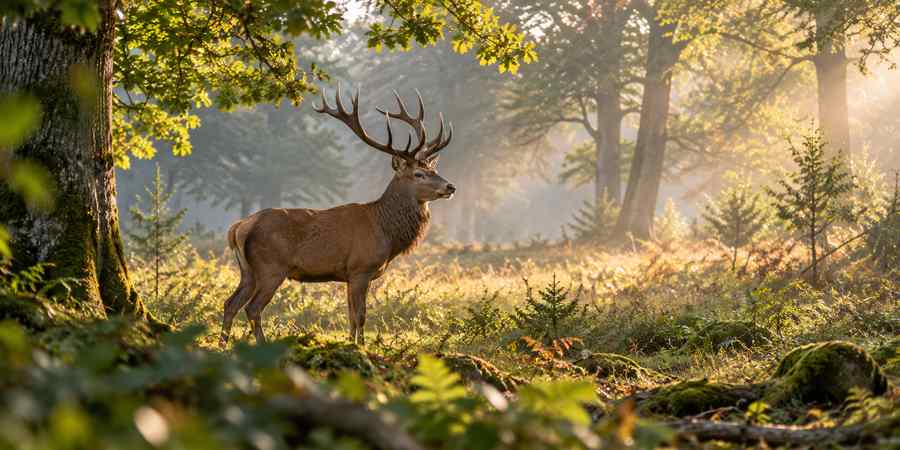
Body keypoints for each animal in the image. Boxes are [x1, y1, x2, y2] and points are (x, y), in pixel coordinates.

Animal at [220, 84, 455, 347]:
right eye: (418, 174)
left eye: (433, 169)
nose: (450, 187)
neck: (386, 232)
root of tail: (239, 228)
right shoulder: (361, 268)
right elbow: (361, 315)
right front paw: (360, 347)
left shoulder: (348, 276)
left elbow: (350, 315)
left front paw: (351, 344)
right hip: (271, 267)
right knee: (253, 308)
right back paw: (262, 345)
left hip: (247, 271)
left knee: (230, 303)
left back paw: (222, 345)